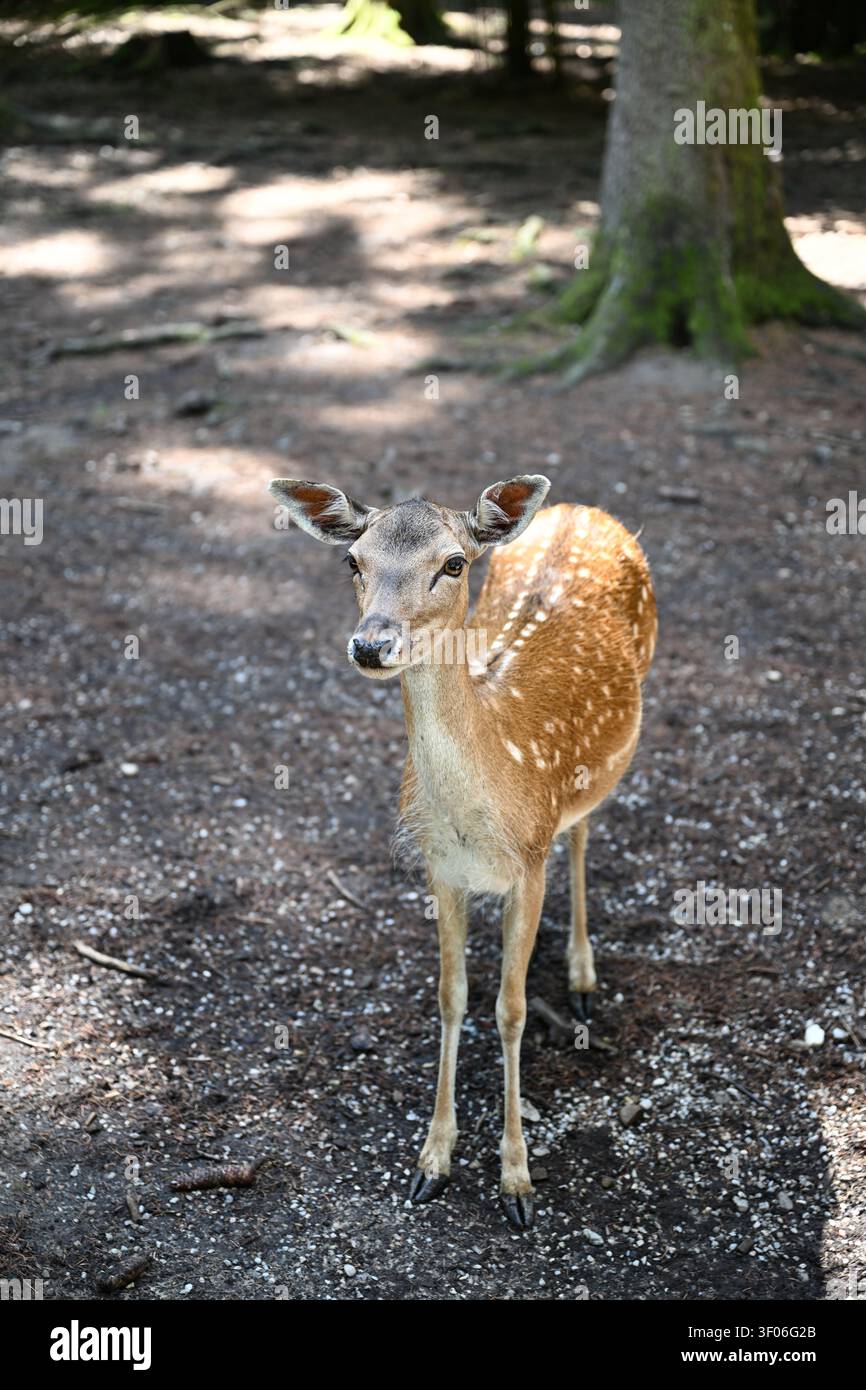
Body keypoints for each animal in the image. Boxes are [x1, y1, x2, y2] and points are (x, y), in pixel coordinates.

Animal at [268, 474, 657, 1230]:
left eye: (452, 563)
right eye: (352, 560)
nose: (371, 644)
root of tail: (580, 510)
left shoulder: (528, 865)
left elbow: (509, 1009)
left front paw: (517, 1181)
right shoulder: (438, 870)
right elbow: (451, 997)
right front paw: (432, 1161)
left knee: (583, 830)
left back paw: (582, 978)